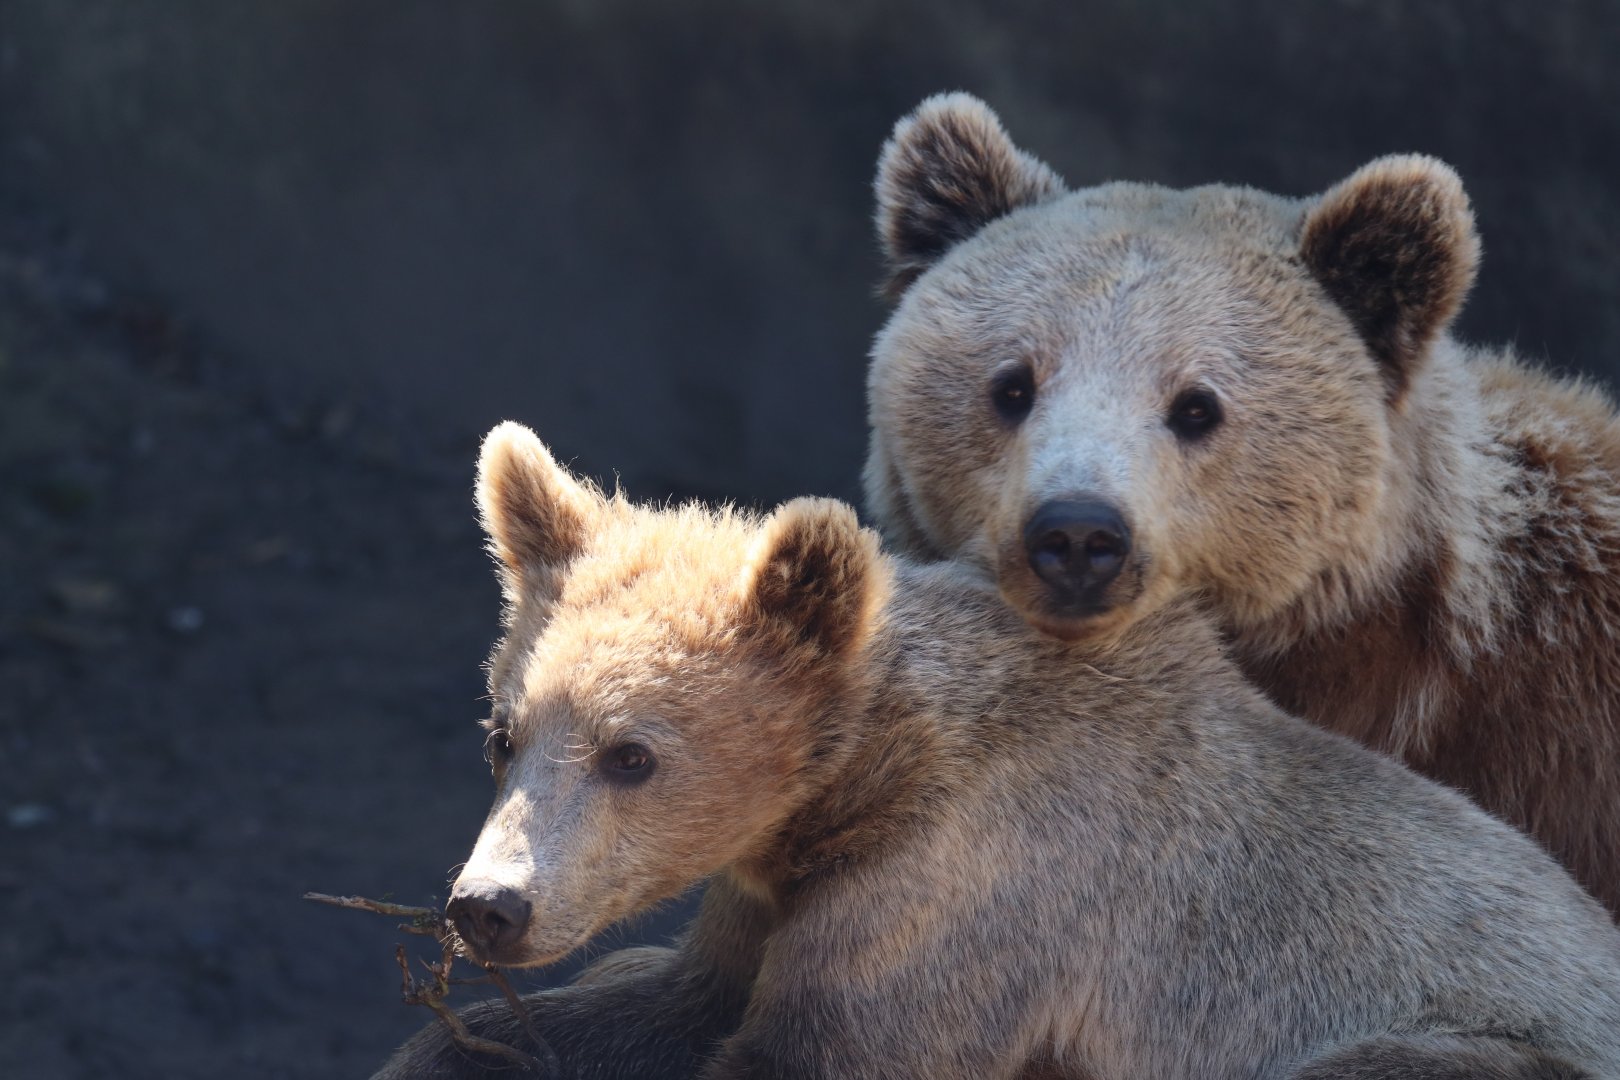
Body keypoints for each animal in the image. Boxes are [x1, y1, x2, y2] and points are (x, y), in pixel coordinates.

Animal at [374, 420, 1620, 1080]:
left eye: (631, 754)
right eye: (503, 733)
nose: (490, 905)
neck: (867, 783)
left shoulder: (968, 901)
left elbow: (812, 1048)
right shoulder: (765, 895)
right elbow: (658, 999)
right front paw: (455, 1043)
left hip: (1467, 1040)